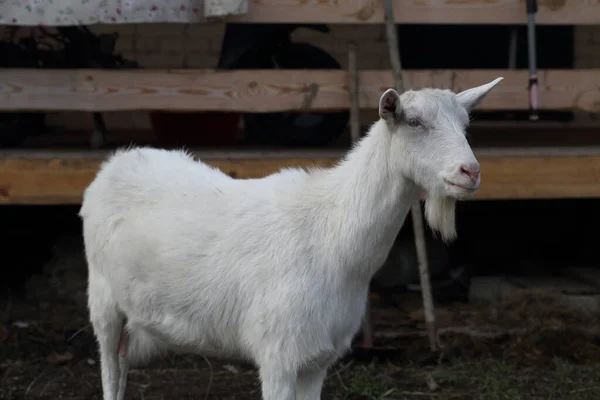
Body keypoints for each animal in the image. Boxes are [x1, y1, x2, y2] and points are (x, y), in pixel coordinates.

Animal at [79, 78, 502, 400]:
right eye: (414, 121)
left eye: (465, 125)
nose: (470, 172)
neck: (332, 238)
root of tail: (116, 161)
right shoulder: (278, 354)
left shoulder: (317, 359)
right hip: (103, 302)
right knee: (110, 373)